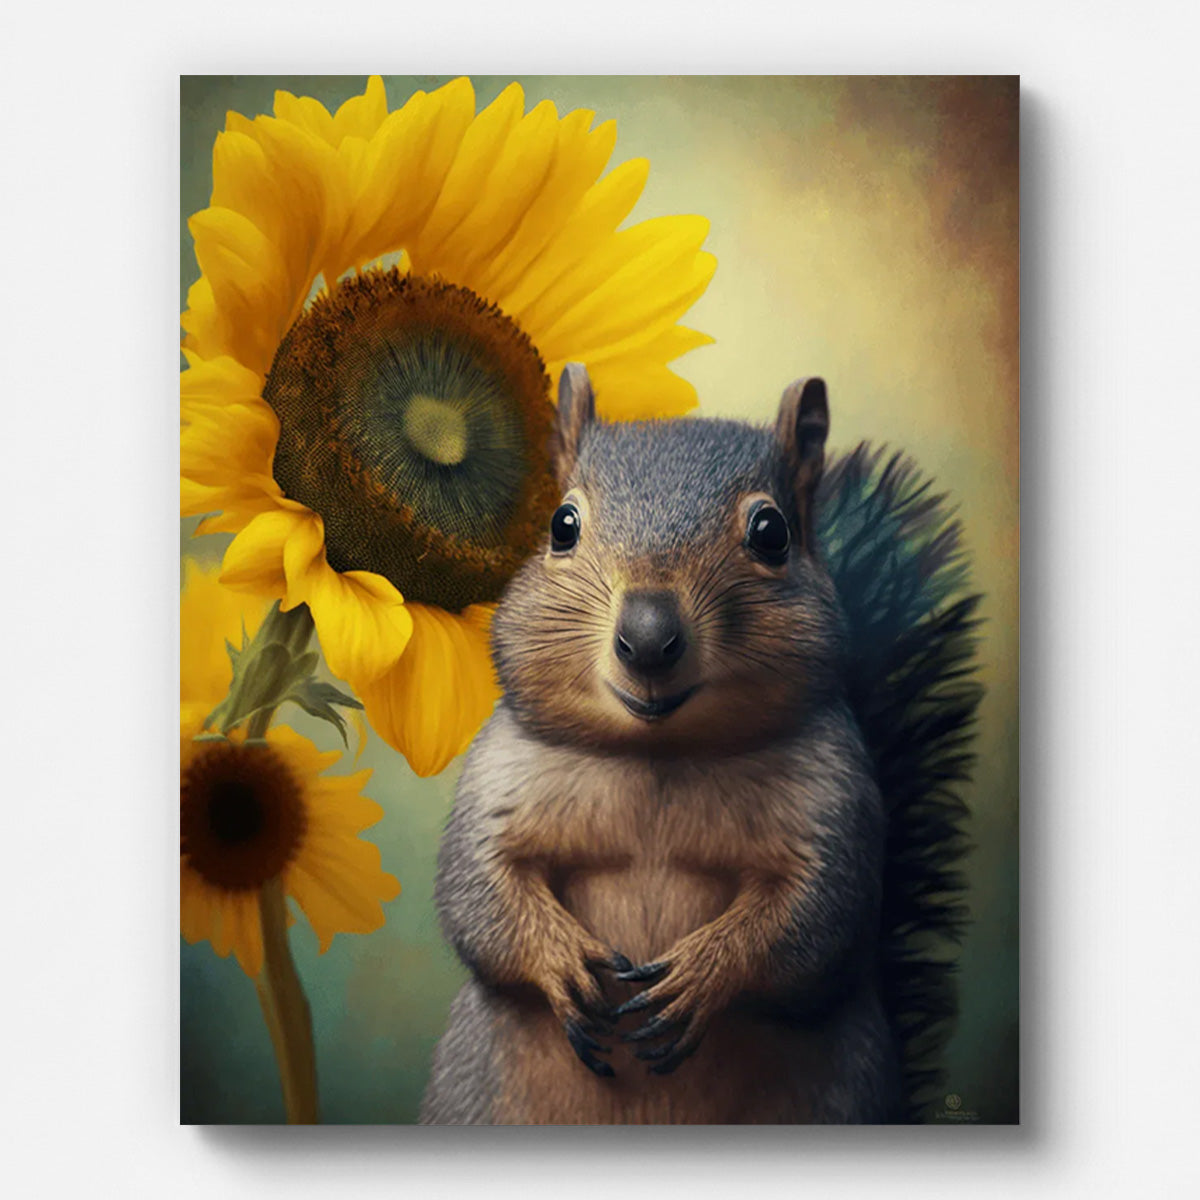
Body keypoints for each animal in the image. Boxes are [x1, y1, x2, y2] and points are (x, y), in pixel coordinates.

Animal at [420, 364, 981, 1125]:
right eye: (561, 526)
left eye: (771, 532)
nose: (648, 635)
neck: (660, 757)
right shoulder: (497, 781)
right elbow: (477, 895)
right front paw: (562, 960)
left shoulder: (835, 803)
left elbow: (814, 918)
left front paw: (704, 973)